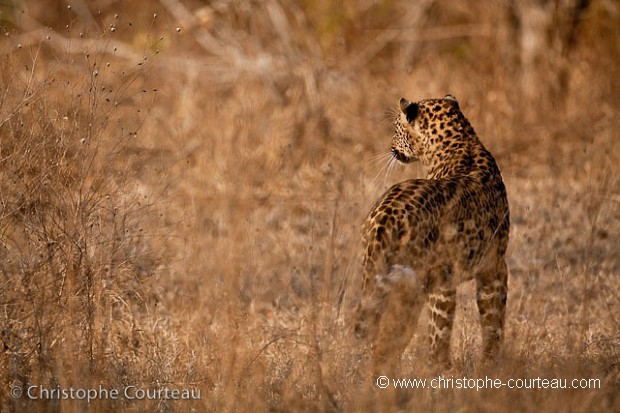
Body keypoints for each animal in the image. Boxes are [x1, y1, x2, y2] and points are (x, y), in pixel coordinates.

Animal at [354, 95, 508, 372]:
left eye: (396, 129)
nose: (390, 147)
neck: (462, 143)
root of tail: (385, 216)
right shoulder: (494, 266)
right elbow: (492, 321)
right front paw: (491, 364)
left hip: (383, 281)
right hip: (424, 285)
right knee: (395, 346)